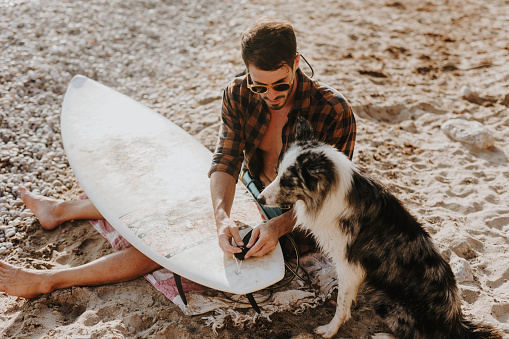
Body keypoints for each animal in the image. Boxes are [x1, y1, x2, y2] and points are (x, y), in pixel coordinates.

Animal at [258, 118, 500, 338]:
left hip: (385, 300)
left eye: (288, 181)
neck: (330, 193)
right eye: (277, 172)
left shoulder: (349, 265)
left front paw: (330, 330)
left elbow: (341, 303)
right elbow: (346, 300)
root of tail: (455, 325)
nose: (259, 198)